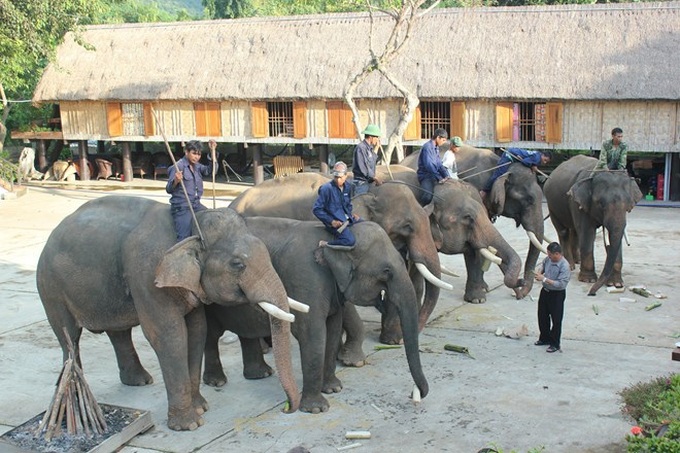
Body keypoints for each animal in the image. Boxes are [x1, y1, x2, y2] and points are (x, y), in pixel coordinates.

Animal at [36, 196, 301, 431]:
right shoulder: (148, 276)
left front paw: (201, 408)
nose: (287, 408)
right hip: (50, 289)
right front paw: (190, 425)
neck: (191, 228)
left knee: (119, 332)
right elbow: (169, 335)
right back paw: (75, 398)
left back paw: (139, 381)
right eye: (238, 264)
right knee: (69, 337)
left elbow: (196, 331)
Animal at [203, 217, 428, 413]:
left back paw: (260, 375)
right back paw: (217, 381)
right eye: (386, 271)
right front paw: (317, 409)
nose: (414, 394)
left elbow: (333, 329)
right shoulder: (304, 278)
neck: (336, 238)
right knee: (210, 335)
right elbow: (313, 334)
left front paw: (334, 389)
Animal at [543, 155, 643, 295]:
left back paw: (577, 261)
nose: (591, 293)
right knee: (564, 232)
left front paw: (616, 284)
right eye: (601, 204)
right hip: (552, 205)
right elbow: (587, 233)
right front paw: (588, 280)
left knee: (575, 231)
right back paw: (570, 265)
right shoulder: (579, 203)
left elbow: (613, 238)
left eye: (628, 205)